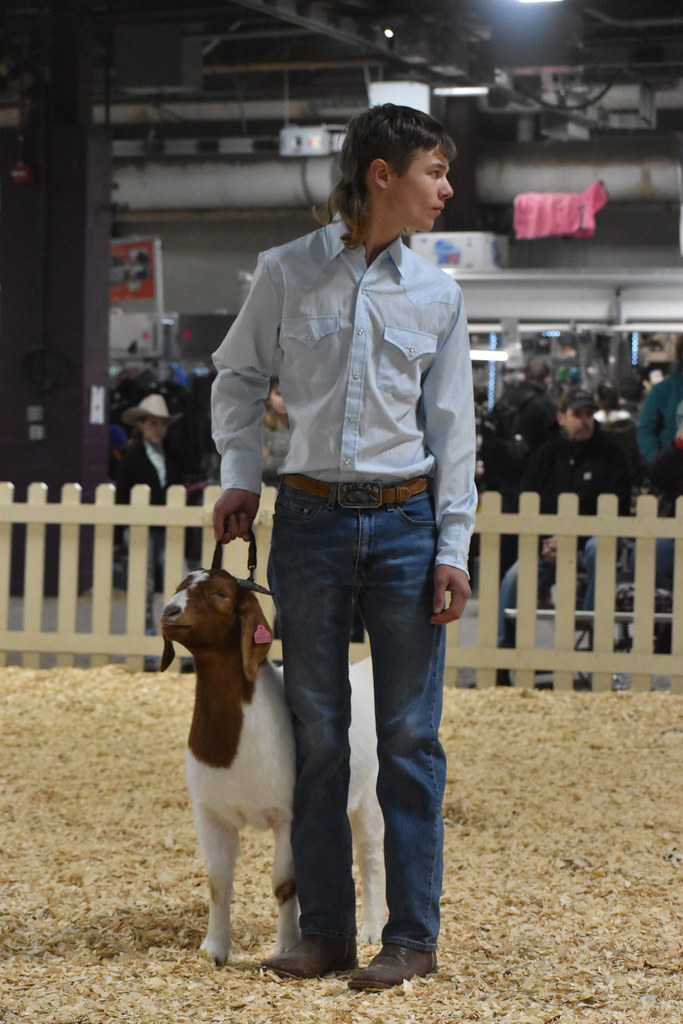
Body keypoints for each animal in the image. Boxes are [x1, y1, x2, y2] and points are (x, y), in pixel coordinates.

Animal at [160, 566, 386, 966]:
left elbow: (283, 884)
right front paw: (214, 948)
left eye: (221, 593)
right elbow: (218, 883)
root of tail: (363, 671)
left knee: (370, 855)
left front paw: (286, 947)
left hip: (369, 795)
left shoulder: (287, 816)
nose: (169, 612)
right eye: (179, 586)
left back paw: (373, 928)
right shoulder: (211, 815)